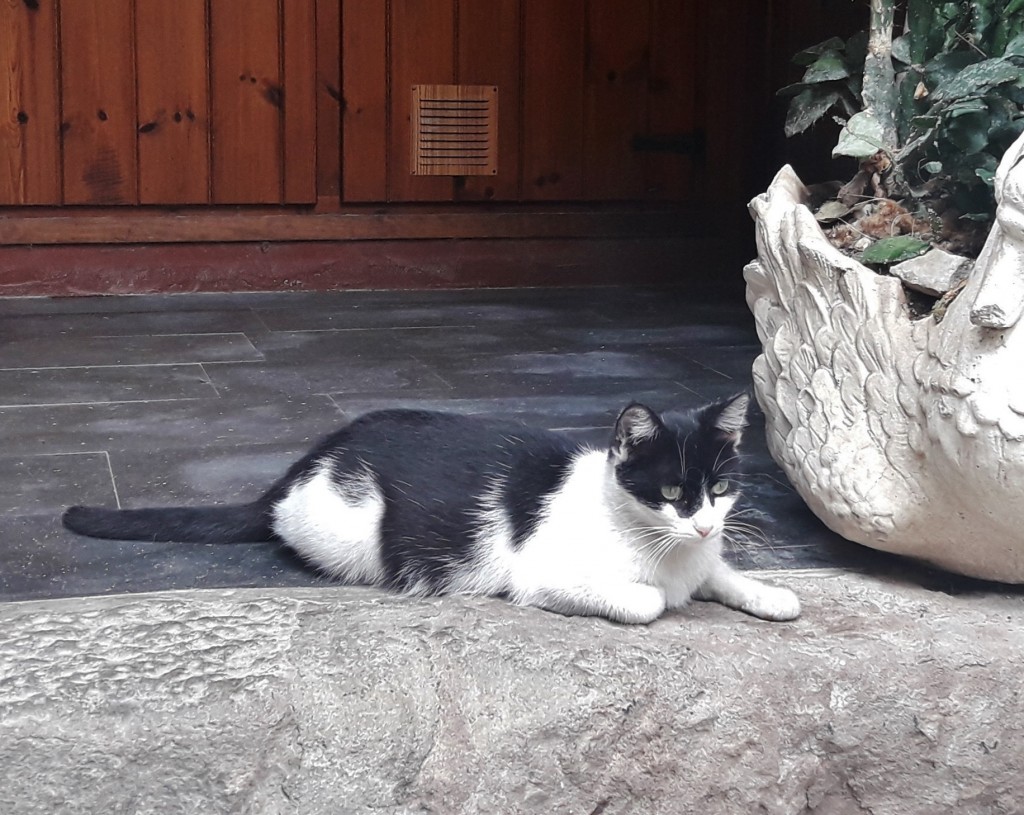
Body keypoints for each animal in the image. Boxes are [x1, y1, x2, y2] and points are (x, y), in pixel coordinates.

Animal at [61, 395, 798, 622]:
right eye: (671, 493)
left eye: (720, 488)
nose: (705, 522)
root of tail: (306, 461)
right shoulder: (543, 575)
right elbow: (646, 600)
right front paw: (663, 593)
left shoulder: (702, 557)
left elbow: (720, 574)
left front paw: (770, 593)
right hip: (352, 528)